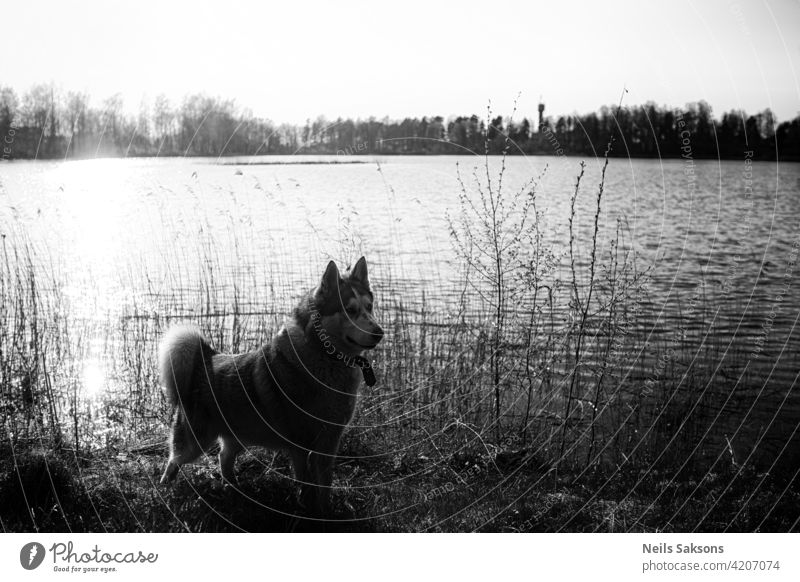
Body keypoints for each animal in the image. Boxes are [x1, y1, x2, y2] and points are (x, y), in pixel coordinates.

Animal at [158, 258, 382, 516]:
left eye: (369, 307)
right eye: (350, 310)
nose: (379, 333)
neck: (325, 359)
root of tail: (205, 358)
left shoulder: (329, 441)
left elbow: (324, 485)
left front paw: (325, 513)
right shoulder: (300, 444)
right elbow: (307, 483)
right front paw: (307, 510)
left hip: (239, 435)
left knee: (224, 457)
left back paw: (234, 488)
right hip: (195, 442)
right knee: (174, 458)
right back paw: (166, 488)